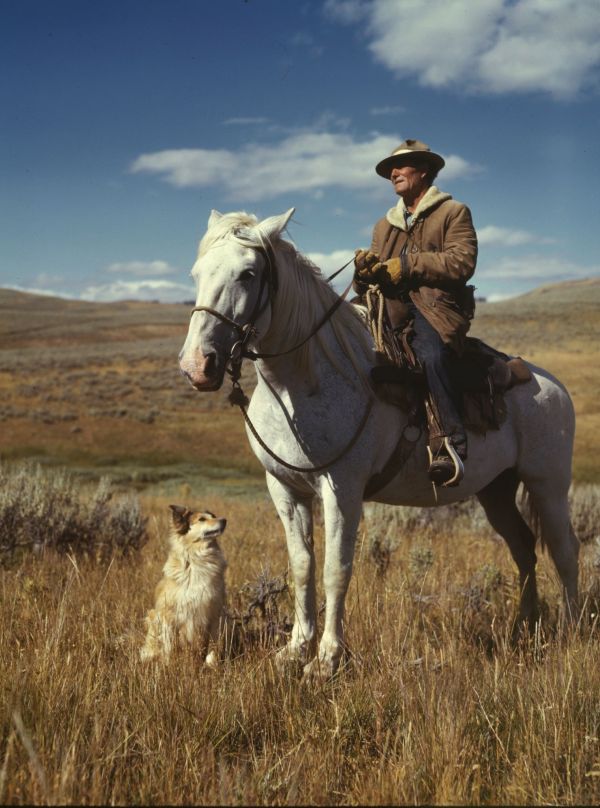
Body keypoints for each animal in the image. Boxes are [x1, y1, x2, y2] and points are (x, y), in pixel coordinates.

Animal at [141, 504, 227, 664]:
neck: (198, 558)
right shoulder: (169, 614)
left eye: (213, 516)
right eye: (202, 519)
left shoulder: (215, 612)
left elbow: (213, 646)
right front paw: (169, 665)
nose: (224, 520)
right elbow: (169, 647)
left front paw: (211, 664)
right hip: (152, 616)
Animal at [180, 208, 580, 680]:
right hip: (496, 490)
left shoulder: (342, 488)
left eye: (248, 273)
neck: (307, 378)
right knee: (523, 549)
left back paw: (570, 632)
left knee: (565, 550)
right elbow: (302, 566)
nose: (197, 365)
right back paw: (523, 628)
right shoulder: (284, 488)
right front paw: (295, 650)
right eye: (195, 273)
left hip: (547, 483)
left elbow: (336, 569)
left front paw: (327, 660)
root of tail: (551, 385)